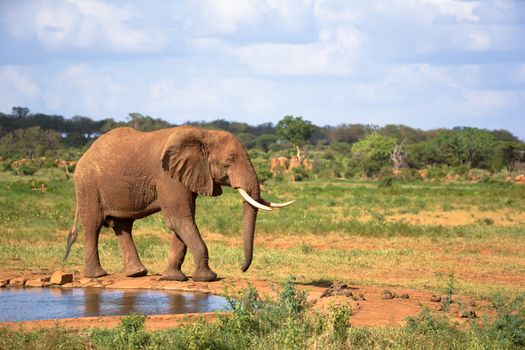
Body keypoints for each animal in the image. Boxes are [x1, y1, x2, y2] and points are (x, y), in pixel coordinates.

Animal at [64, 126, 292, 282]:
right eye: (229, 162)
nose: (242, 269)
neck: (204, 134)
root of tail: (84, 155)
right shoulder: (169, 178)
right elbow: (180, 219)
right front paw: (208, 278)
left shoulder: (187, 176)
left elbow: (183, 221)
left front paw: (173, 278)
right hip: (87, 185)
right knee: (93, 225)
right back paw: (97, 275)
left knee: (123, 226)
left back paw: (137, 274)